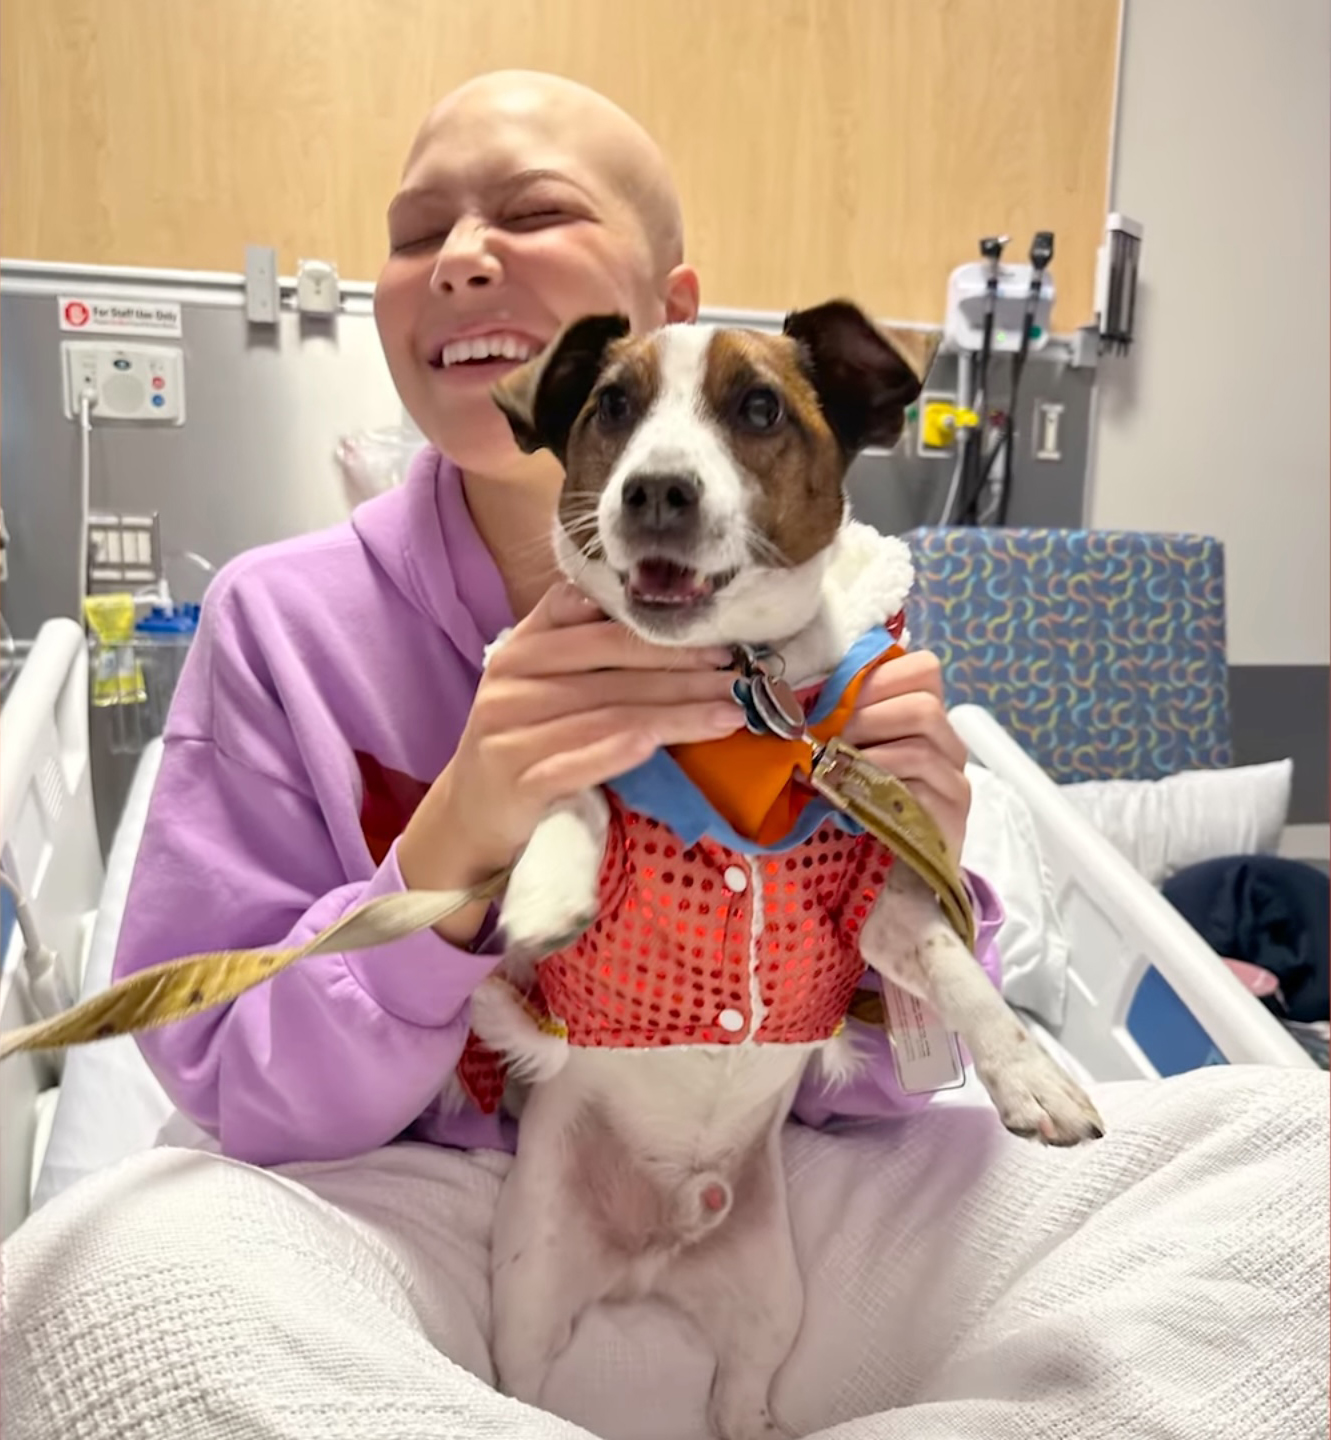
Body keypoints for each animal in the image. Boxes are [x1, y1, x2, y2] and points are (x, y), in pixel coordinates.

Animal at [463, 298, 1106, 1434]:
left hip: (767, 1300)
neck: (735, 696)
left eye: (758, 408)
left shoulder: (875, 907)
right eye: (611, 406)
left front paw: (1032, 1075)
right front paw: (549, 884)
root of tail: (659, 1245)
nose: (655, 490)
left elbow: (958, 972)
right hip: (532, 1292)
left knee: (742, 1403)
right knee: (531, 1392)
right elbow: (578, 783)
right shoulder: (567, 726)